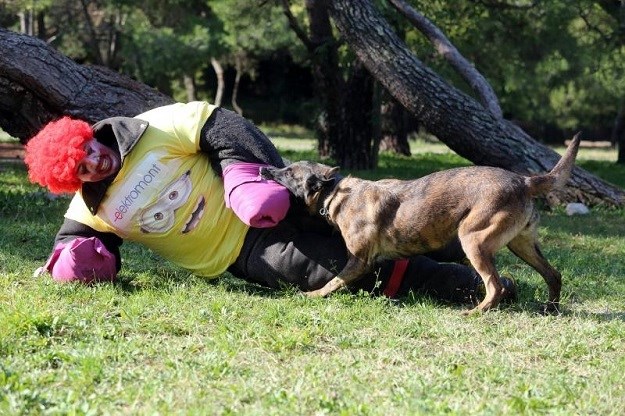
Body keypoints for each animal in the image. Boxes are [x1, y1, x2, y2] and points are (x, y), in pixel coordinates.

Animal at [260, 135, 580, 314]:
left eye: (288, 173)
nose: (264, 169)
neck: (335, 193)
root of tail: (524, 181)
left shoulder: (358, 260)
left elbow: (333, 281)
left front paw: (312, 295)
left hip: (474, 240)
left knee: (495, 285)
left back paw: (476, 313)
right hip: (522, 245)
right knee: (553, 275)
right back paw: (550, 309)